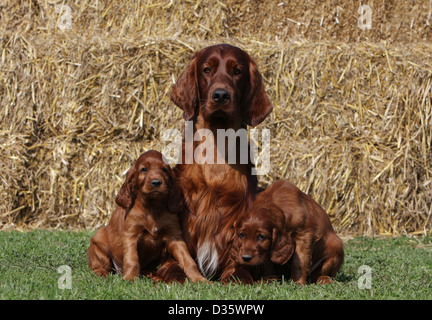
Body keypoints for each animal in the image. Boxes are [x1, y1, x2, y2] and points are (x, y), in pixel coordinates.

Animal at [87, 150, 206, 282]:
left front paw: (199, 279)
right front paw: (130, 279)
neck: (152, 207)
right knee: (98, 266)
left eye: (164, 170)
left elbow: (188, 260)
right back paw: (102, 273)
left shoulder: (174, 236)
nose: (156, 182)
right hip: (97, 247)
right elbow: (132, 259)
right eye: (144, 169)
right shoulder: (130, 234)